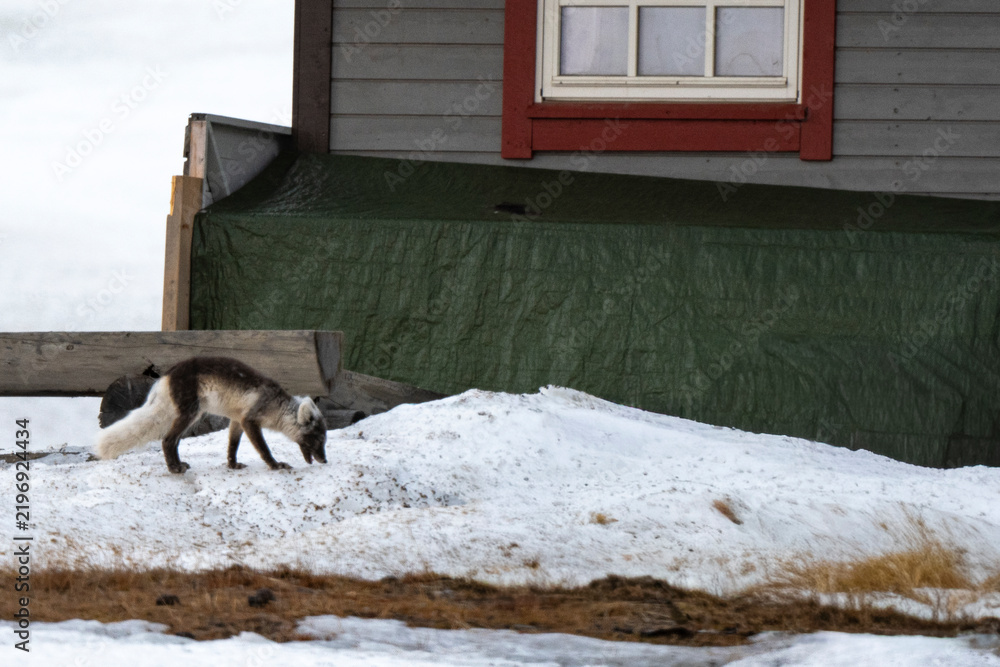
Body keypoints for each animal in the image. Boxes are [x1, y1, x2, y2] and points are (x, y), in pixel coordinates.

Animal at [95, 356, 327, 473]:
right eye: (318, 440)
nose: (325, 461)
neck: (277, 407)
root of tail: (167, 375)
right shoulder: (250, 420)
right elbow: (263, 448)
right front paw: (275, 465)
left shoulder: (237, 420)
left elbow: (232, 446)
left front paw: (232, 465)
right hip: (191, 413)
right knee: (168, 440)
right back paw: (175, 468)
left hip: (190, 414)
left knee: (173, 440)